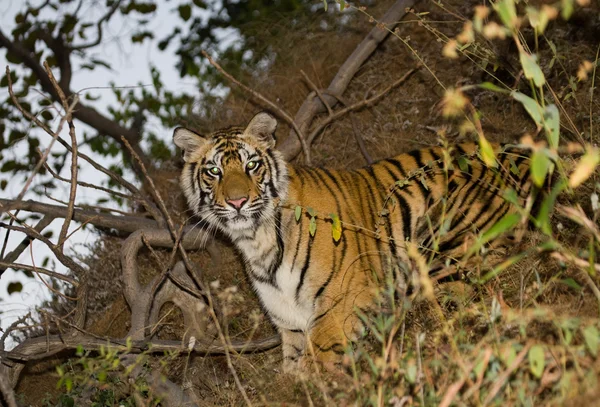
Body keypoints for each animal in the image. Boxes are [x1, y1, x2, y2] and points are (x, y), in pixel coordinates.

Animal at [173, 111, 536, 372]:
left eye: (252, 164)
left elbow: (316, 360)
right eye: (214, 171)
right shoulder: (289, 324)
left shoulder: (345, 297)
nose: (237, 202)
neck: (256, 240)